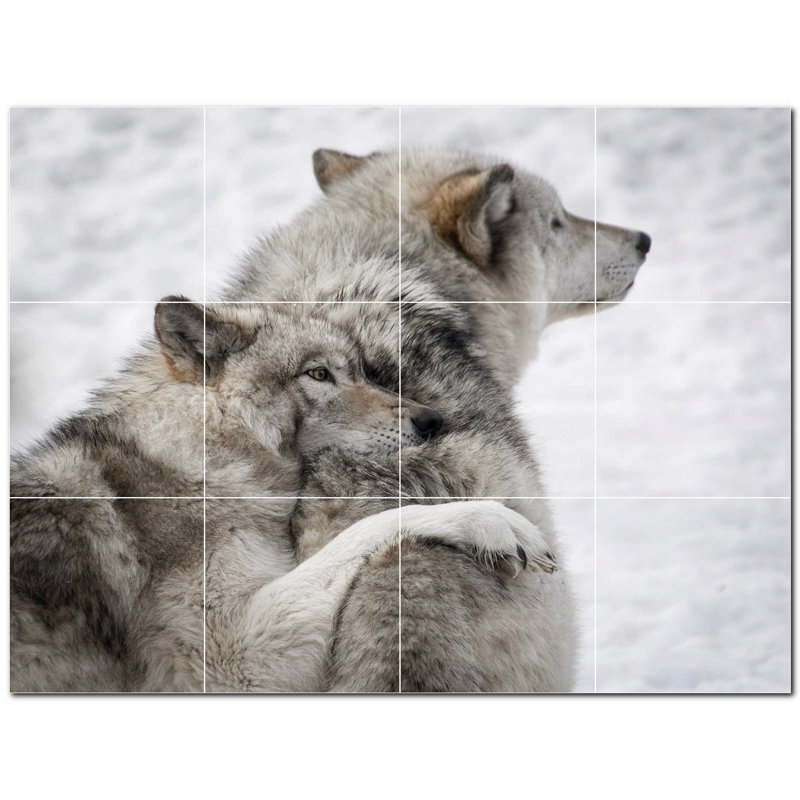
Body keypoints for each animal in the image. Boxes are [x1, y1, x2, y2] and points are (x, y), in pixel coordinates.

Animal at [10, 297, 554, 691]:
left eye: (361, 372)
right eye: (318, 374)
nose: (431, 420)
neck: (198, 460)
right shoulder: (230, 660)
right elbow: (370, 527)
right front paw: (491, 521)